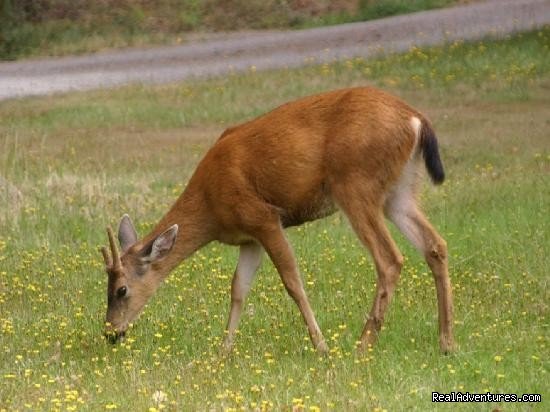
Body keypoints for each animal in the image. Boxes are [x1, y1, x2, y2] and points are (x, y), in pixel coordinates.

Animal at [100, 86, 458, 354]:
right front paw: (223, 351)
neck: (211, 206)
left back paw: (363, 344)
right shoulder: (248, 238)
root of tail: (416, 120)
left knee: (390, 258)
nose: (110, 332)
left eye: (121, 290)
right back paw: (446, 343)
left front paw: (321, 346)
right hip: (399, 190)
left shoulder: (263, 217)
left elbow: (292, 280)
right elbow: (238, 288)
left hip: (356, 183)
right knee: (435, 245)